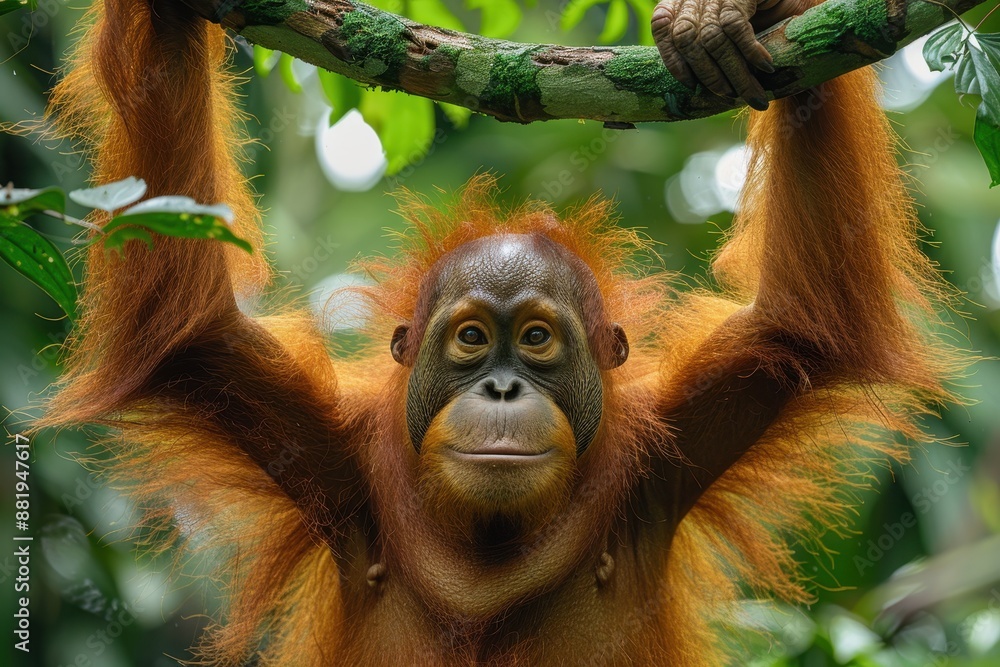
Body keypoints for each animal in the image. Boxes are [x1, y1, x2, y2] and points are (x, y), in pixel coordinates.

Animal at [33, 0, 963, 664]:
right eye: (474, 339)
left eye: (540, 340)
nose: (504, 386)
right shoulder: (325, 450)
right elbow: (186, 320)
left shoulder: (675, 447)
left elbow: (808, 321)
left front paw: (748, 11)